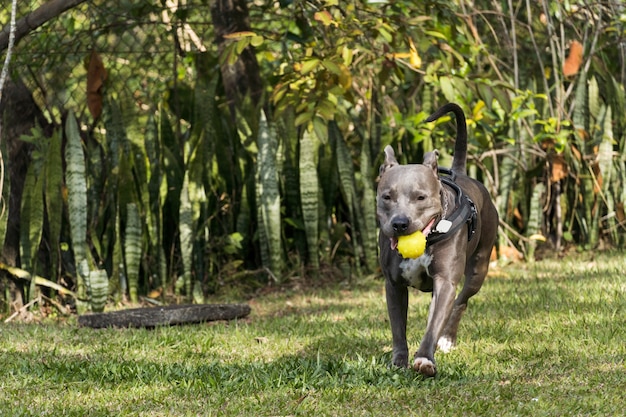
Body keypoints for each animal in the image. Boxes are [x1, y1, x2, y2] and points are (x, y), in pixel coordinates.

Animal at [376, 102, 498, 376]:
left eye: (421, 197)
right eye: (386, 196)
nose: (400, 223)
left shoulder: (445, 280)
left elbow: (435, 321)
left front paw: (424, 359)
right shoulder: (394, 285)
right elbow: (398, 328)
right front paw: (399, 361)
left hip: (479, 268)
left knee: (461, 302)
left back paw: (447, 339)